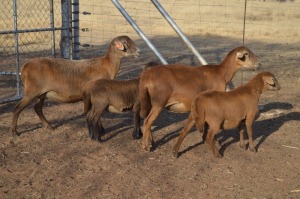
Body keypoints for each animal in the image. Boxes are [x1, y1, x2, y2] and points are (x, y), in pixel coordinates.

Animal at [10, 35, 139, 135]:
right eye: (124, 42)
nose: (139, 51)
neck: (107, 65)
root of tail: (24, 67)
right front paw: (101, 130)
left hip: (41, 93)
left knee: (37, 108)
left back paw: (49, 126)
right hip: (32, 91)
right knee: (17, 108)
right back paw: (14, 131)